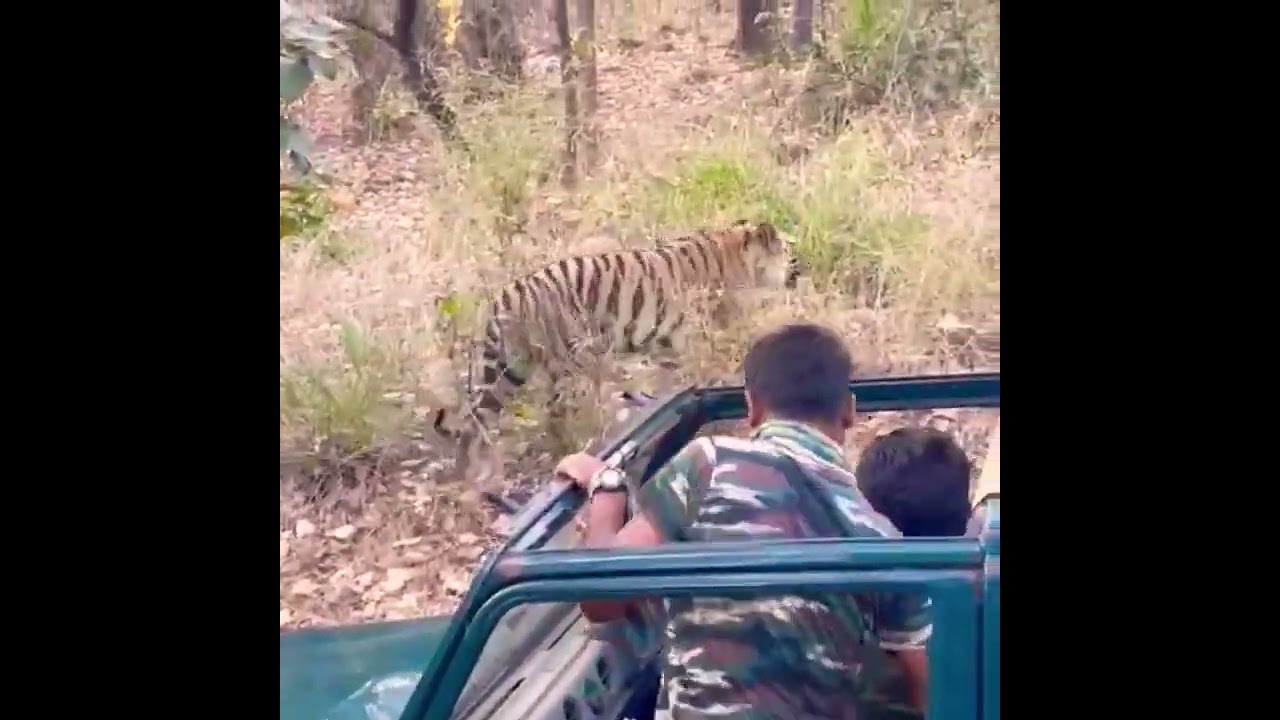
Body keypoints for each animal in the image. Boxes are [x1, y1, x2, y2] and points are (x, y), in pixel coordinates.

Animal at [433, 220, 802, 506]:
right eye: (787, 250)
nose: (800, 268)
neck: (739, 252)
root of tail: (502, 299)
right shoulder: (706, 335)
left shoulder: (671, 344)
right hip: (563, 365)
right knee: (554, 415)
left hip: (507, 373)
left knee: (475, 424)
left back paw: (471, 480)